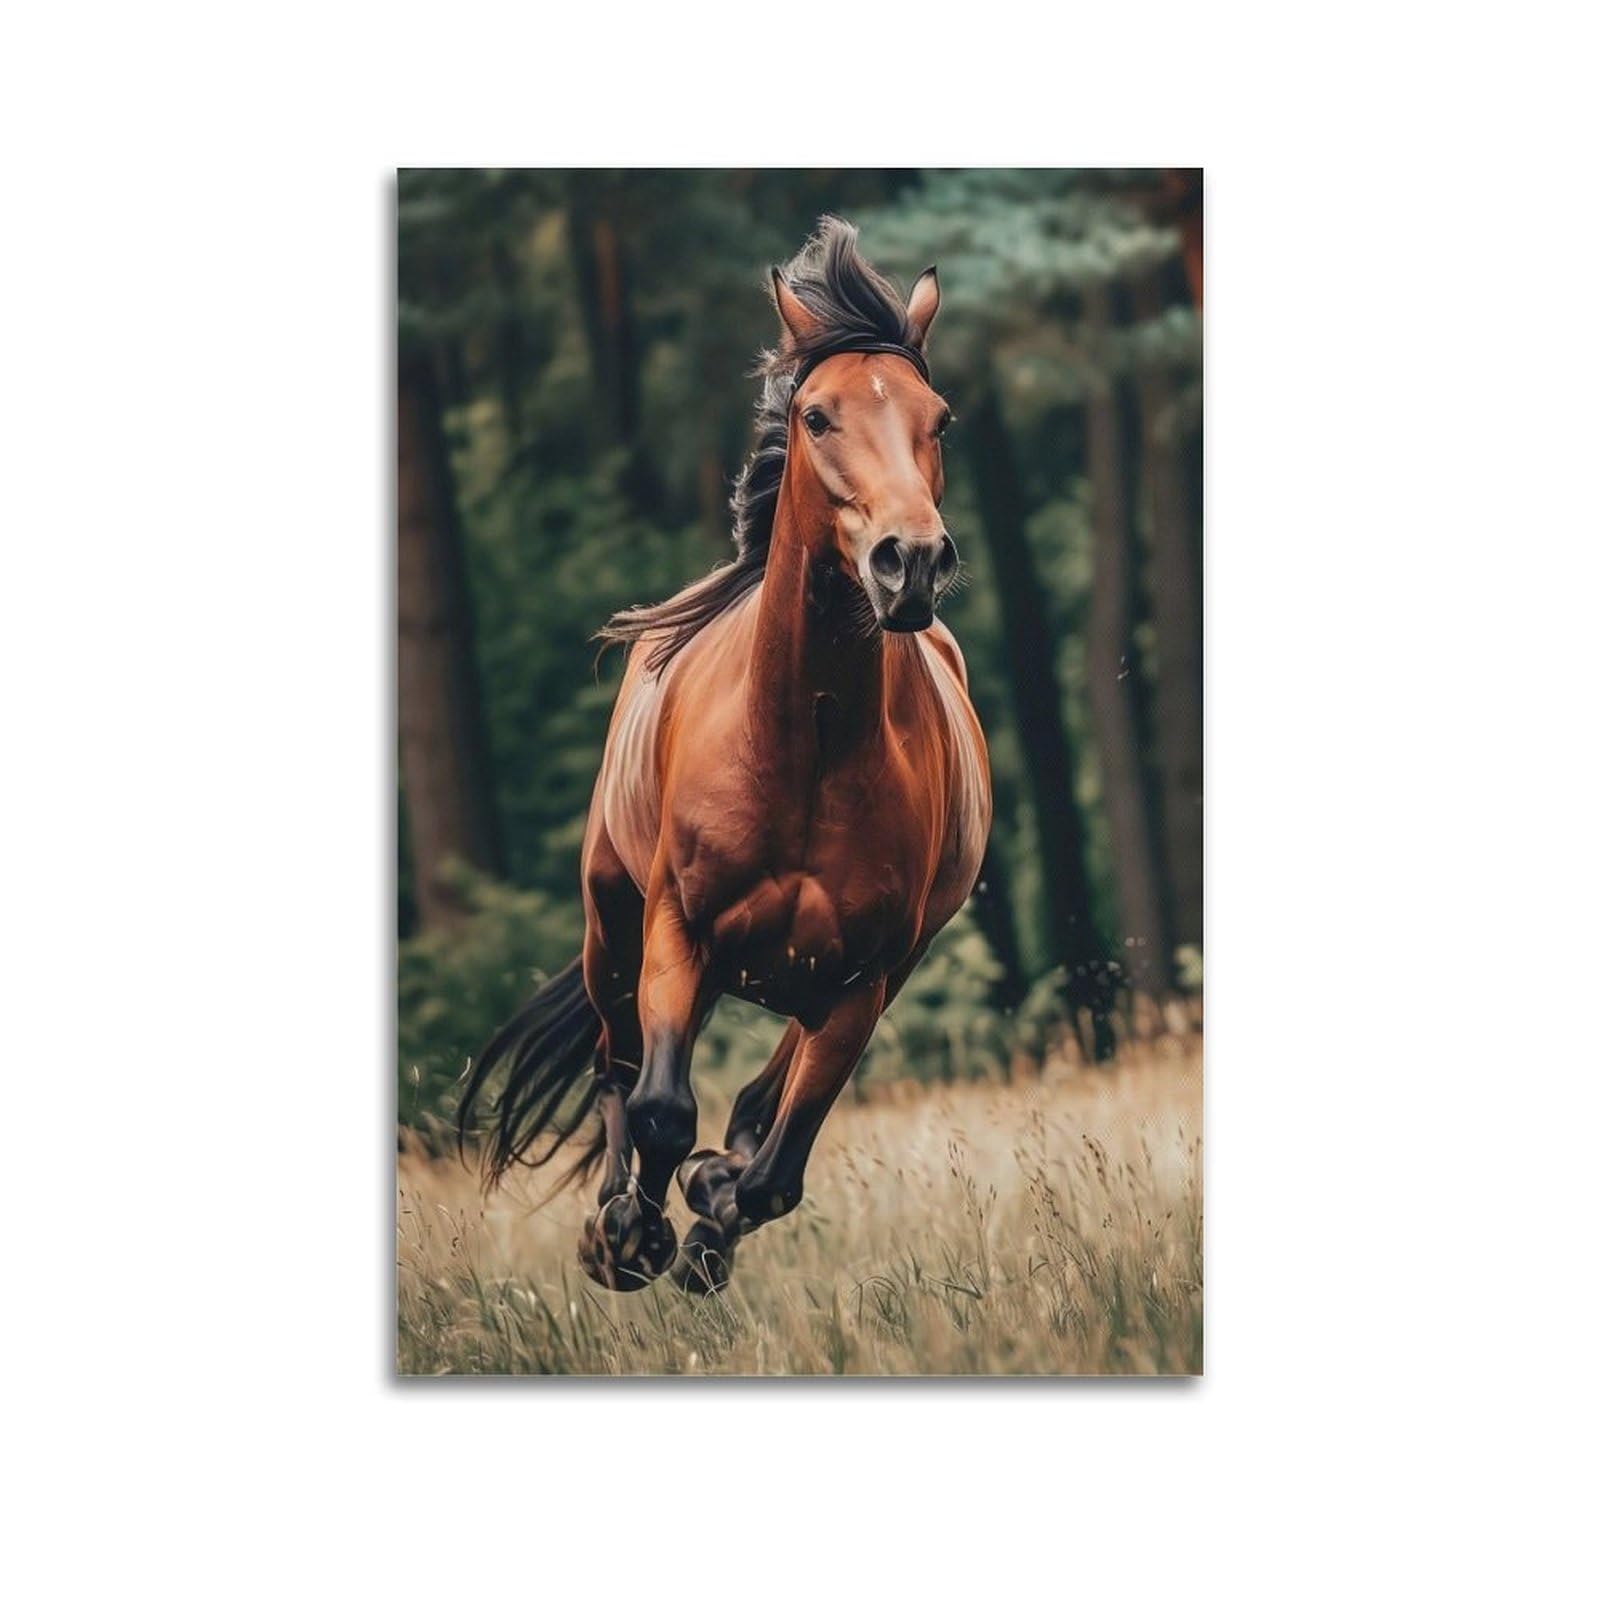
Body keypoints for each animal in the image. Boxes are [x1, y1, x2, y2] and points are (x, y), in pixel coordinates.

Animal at [459, 217, 992, 1293]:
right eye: (818, 416)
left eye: (941, 419)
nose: (910, 562)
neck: (806, 743)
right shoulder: (679, 927)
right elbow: (661, 1109)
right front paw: (629, 1235)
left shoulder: (860, 979)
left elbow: (774, 1165)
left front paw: (707, 1216)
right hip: (612, 925)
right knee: (620, 1070)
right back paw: (619, 1220)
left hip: (856, 976)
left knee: (754, 1103)